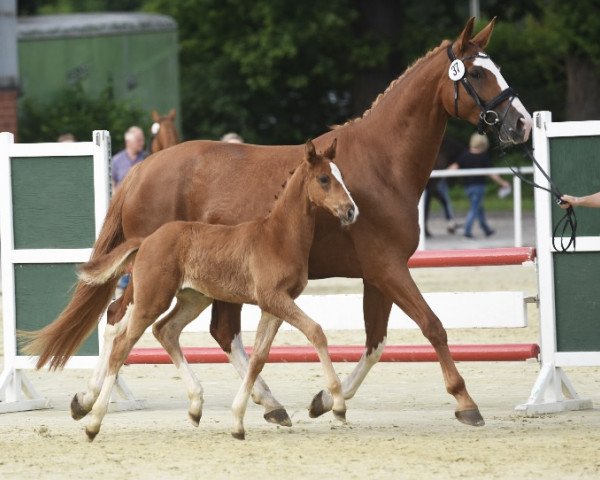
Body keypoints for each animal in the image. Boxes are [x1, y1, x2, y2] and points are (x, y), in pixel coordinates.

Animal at [74, 138, 356, 438]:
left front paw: (240, 421)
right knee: (121, 346)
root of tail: (146, 240)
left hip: (193, 299)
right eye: (324, 179)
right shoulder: (274, 298)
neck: (277, 237)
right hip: (152, 299)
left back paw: (195, 406)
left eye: (341, 176)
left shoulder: (274, 305)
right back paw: (93, 421)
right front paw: (337, 404)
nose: (351, 210)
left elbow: (258, 358)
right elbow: (316, 331)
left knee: (165, 330)